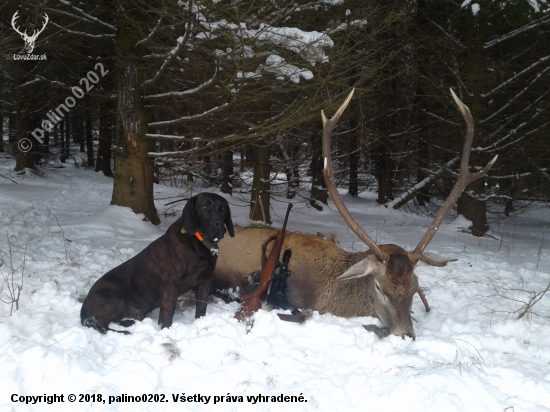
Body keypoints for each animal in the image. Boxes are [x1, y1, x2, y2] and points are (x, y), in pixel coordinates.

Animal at [80, 194, 235, 334]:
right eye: (204, 207)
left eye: (222, 209)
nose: (219, 224)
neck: (199, 242)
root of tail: (84, 307)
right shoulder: (170, 284)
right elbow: (167, 313)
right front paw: (166, 331)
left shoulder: (205, 280)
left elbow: (202, 307)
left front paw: (200, 322)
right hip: (119, 290)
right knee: (99, 323)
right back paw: (123, 331)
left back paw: (127, 322)